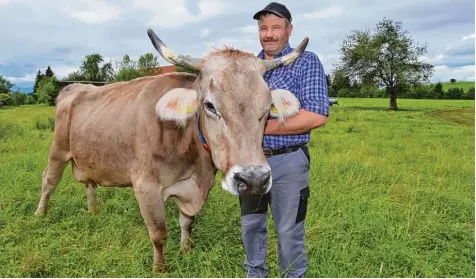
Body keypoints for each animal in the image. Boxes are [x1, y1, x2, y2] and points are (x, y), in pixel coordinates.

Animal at [33, 29, 308, 274]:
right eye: (209, 105)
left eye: (267, 109)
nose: (253, 180)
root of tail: (75, 87)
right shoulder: (146, 187)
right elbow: (159, 234)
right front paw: (160, 268)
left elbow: (187, 222)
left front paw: (186, 250)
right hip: (58, 150)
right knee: (49, 181)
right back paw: (40, 213)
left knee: (89, 183)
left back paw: (93, 210)